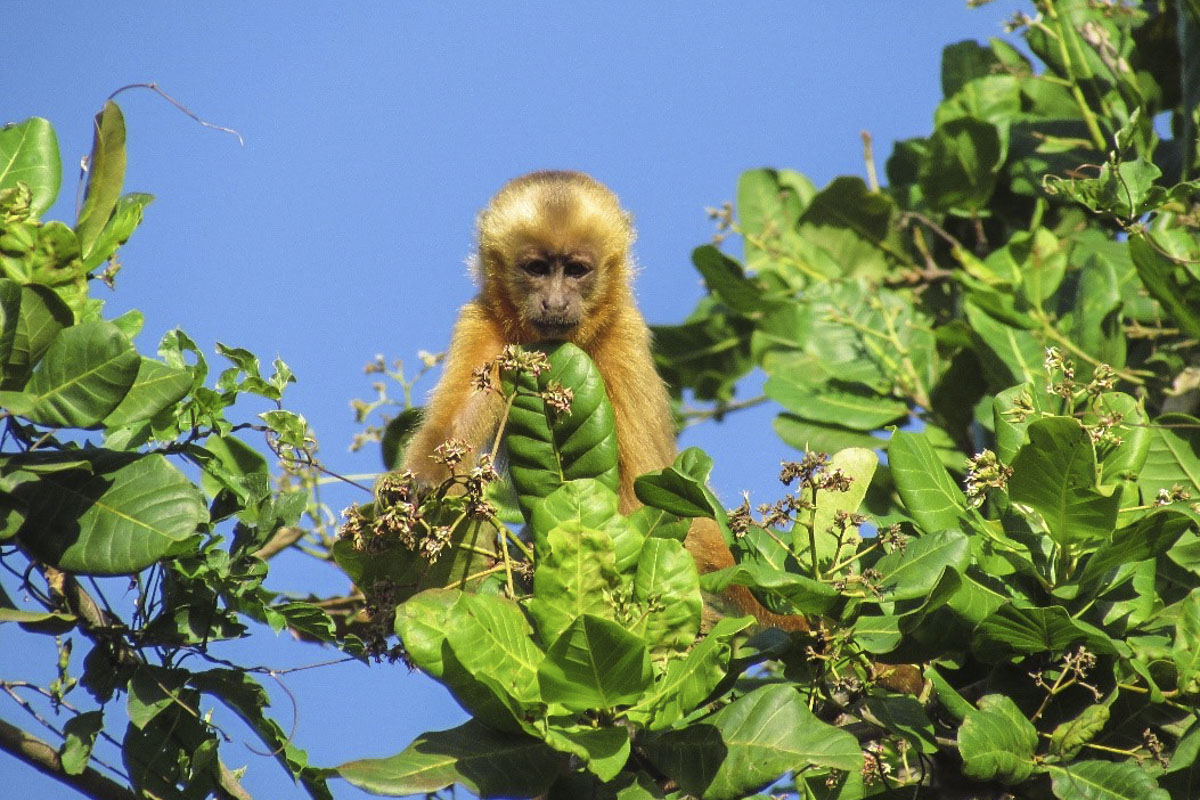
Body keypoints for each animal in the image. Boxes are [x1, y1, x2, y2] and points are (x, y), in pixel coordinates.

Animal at [400, 172, 806, 633]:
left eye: (576, 271)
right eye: (537, 269)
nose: (555, 302)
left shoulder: (621, 336)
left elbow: (638, 489)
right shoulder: (481, 319)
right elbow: (455, 431)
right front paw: (417, 485)